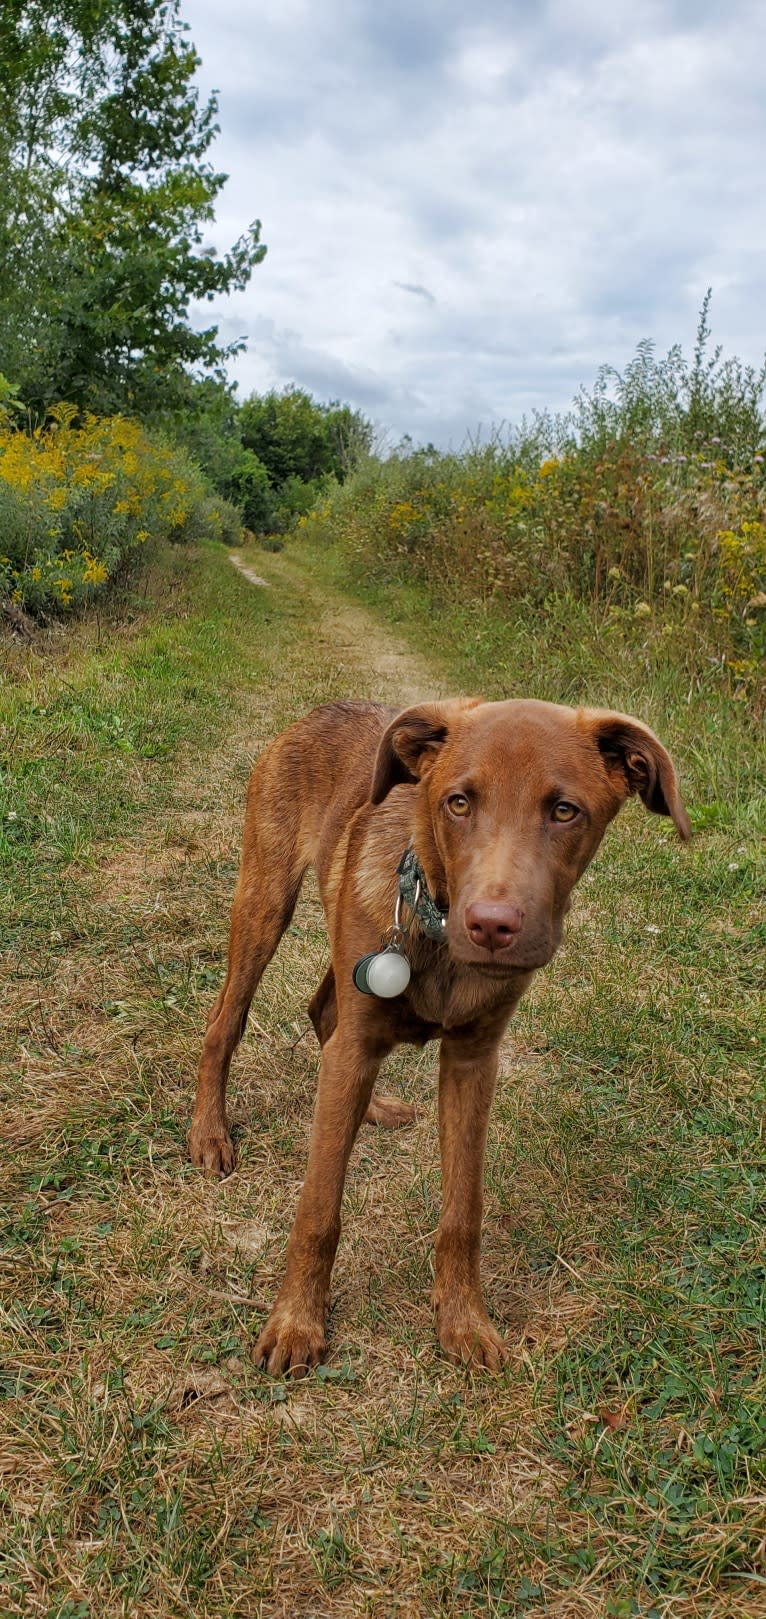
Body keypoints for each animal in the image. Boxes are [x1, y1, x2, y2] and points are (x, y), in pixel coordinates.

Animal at [189, 702, 686, 1372]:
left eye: (564, 811)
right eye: (458, 803)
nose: (492, 927)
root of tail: (324, 708)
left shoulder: (473, 1058)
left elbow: (463, 1210)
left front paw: (463, 1319)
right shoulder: (361, 1043)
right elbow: (318, 1207)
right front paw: (297, 1323)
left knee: (323, 1014)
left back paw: (370, 1106)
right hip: (264, 901)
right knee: (226, 1023)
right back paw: (210, 1135)